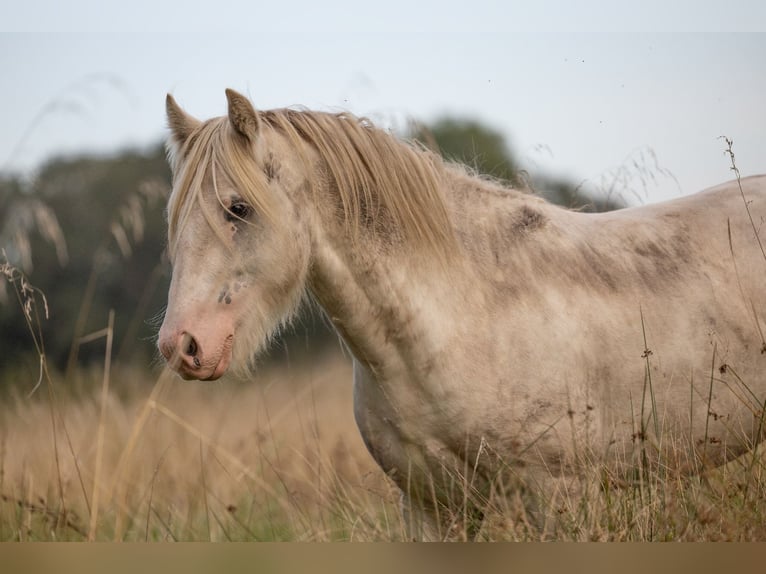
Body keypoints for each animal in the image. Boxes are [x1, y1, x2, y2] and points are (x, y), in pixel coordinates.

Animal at [159, 88, 766, 544]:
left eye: (238, 208)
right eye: (176, 216)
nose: (181, 345)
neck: (463, 313)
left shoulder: (561, 499)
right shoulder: (431, 506)